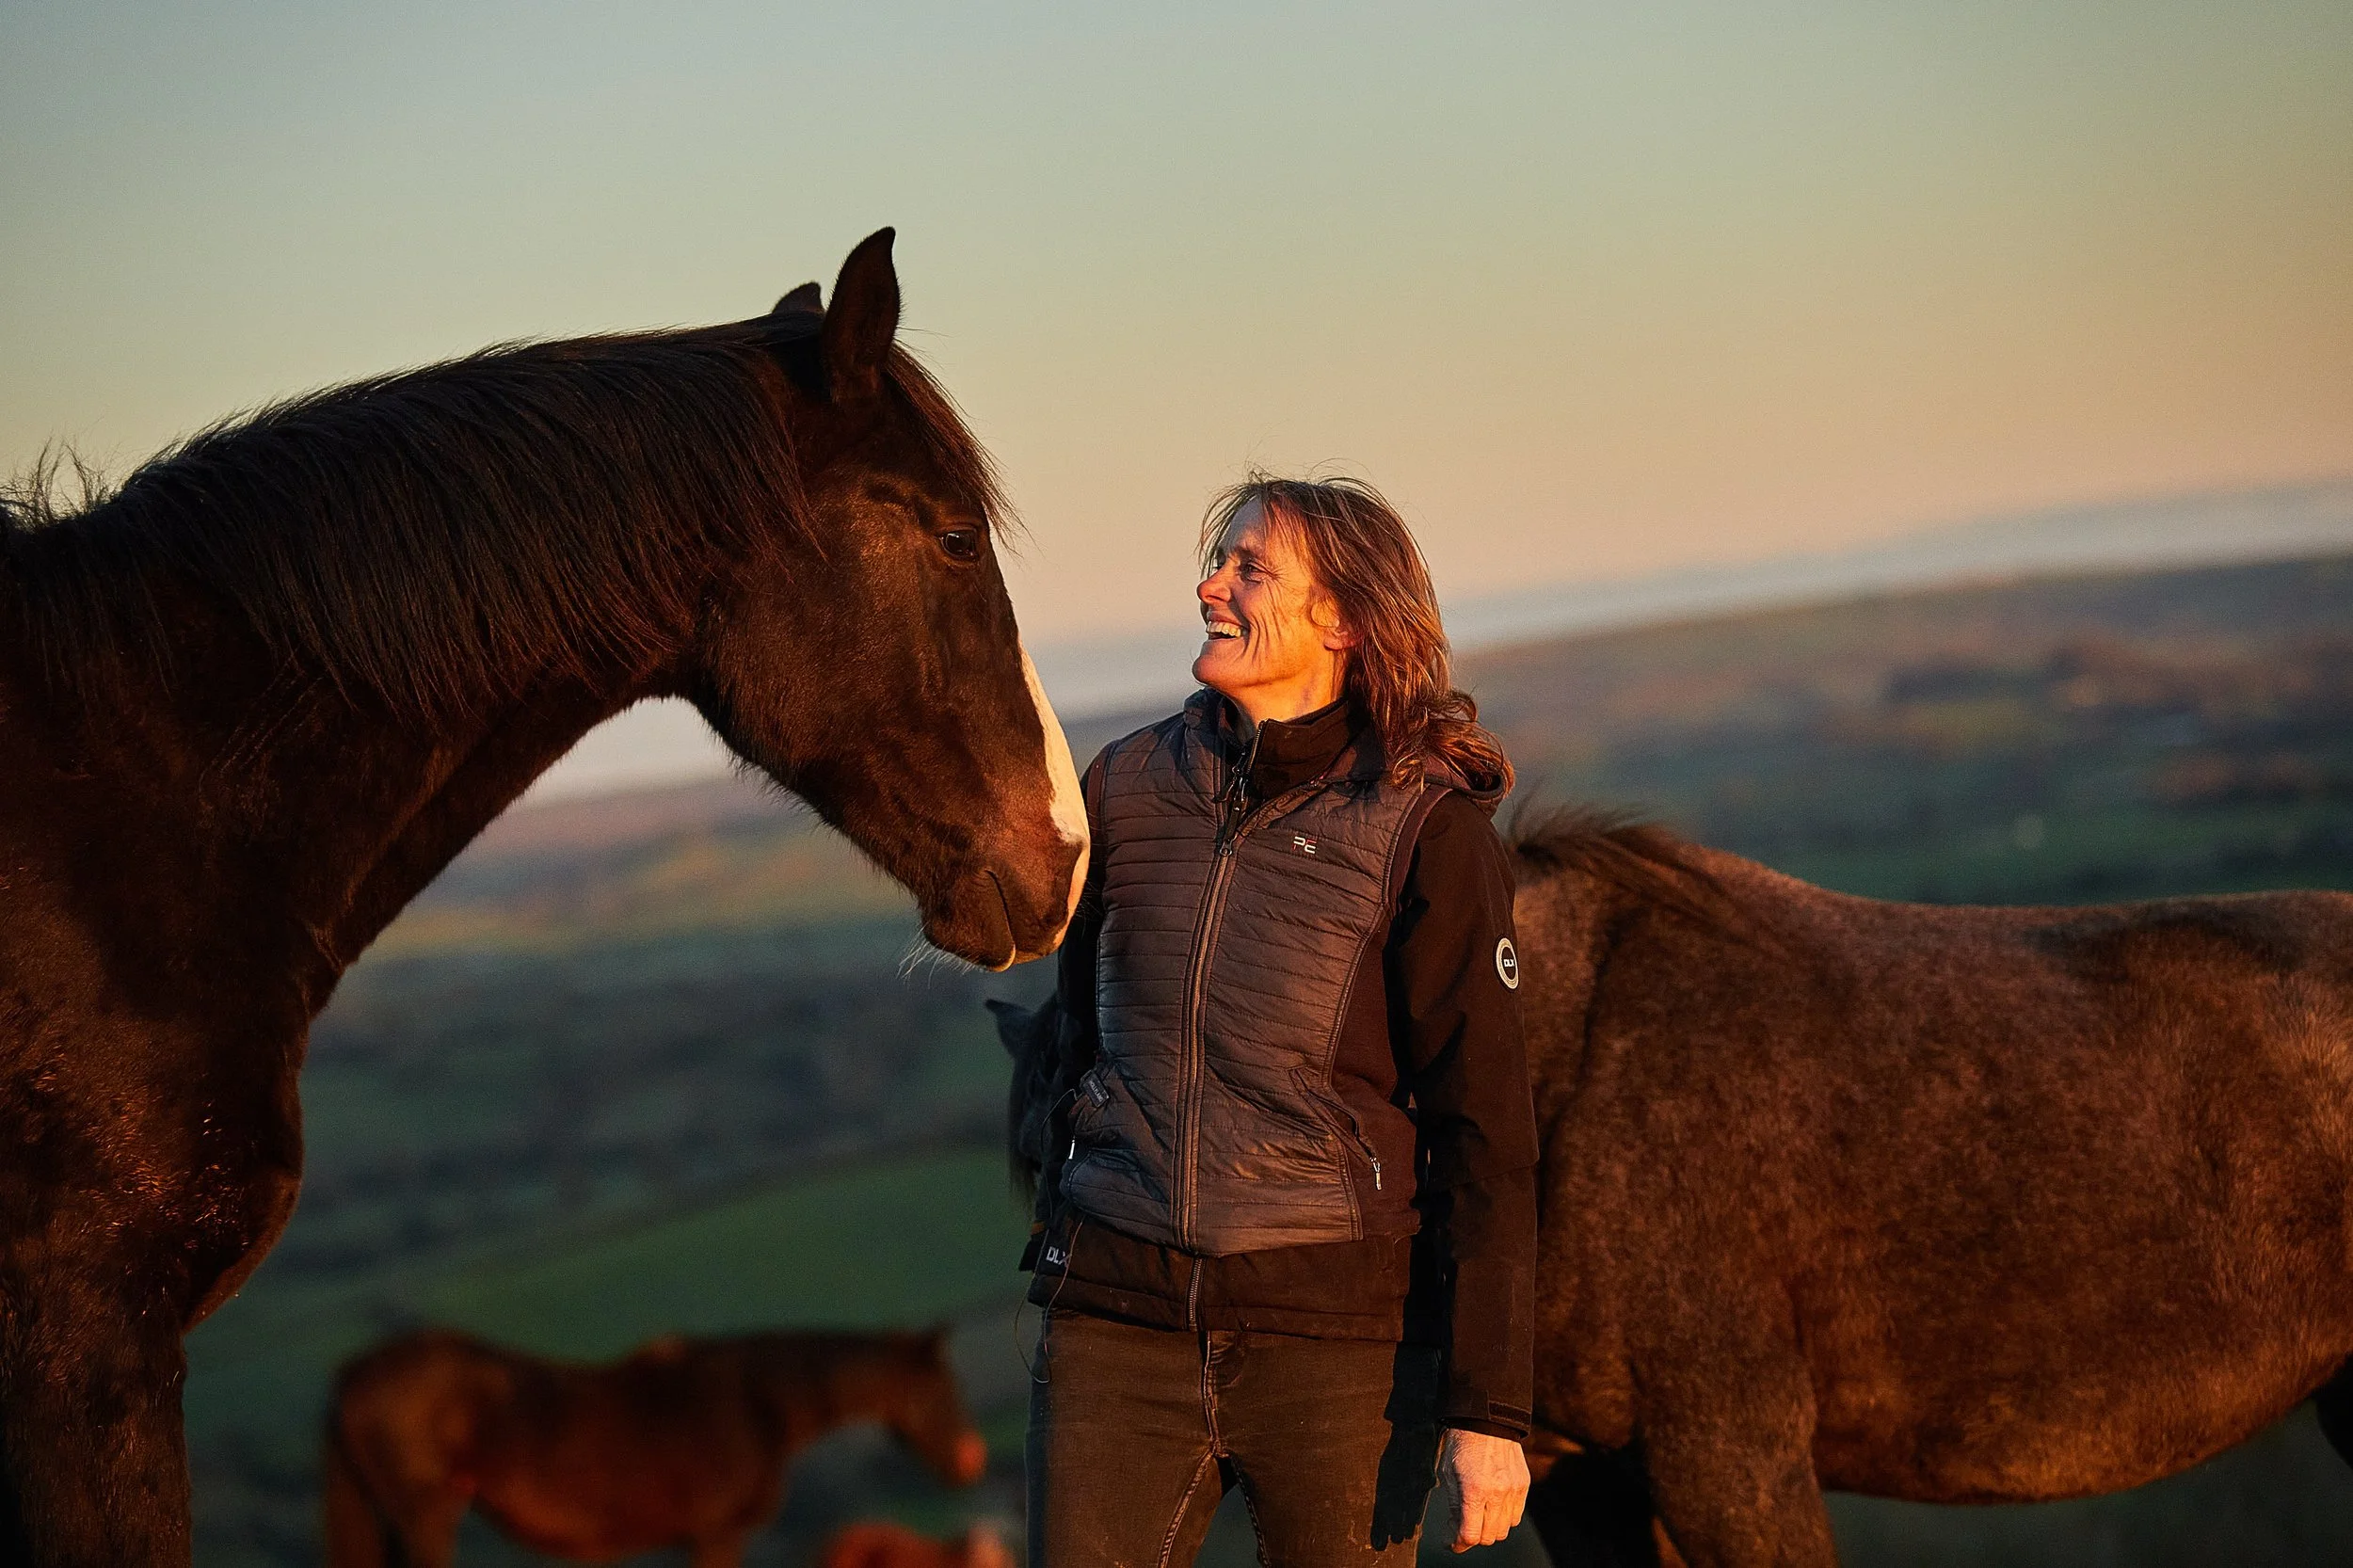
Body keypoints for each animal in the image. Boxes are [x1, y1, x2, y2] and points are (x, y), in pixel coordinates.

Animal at [324, 1326, 987, 1568]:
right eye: (941, 1389)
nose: (972, 1458)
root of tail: (354, 1371)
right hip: (426, 1519)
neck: (756, 1401)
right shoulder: (716, 1535)